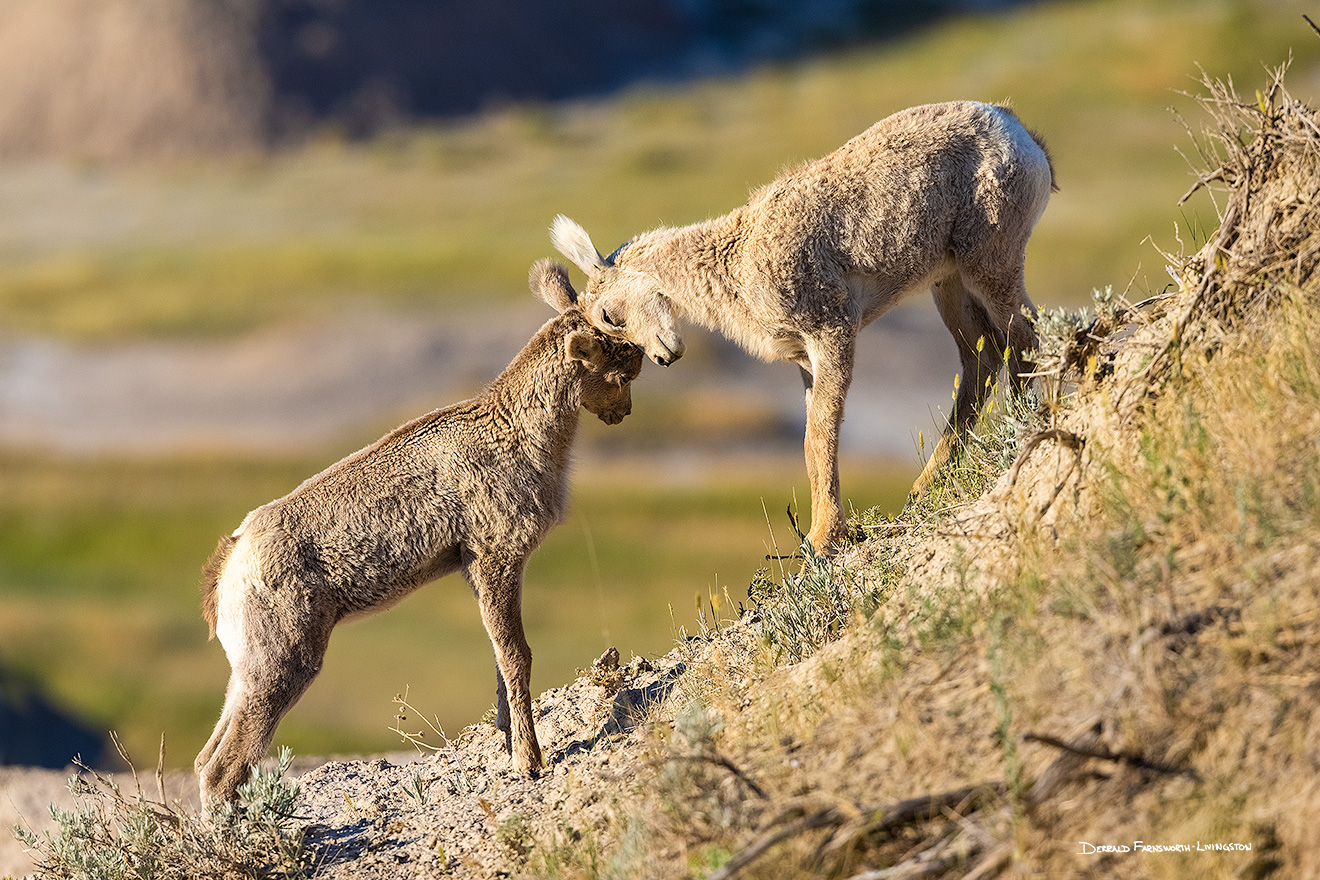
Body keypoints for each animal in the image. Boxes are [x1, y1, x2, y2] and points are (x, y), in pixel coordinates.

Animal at [194, 263, 644, 807]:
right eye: (624, 372)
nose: (623, 413)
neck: (521, 435)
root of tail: (229, 568)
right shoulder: (495, 559)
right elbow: (517, 657)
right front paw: (530, 762)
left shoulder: (476, 571)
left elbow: (500, 660)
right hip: (282, 667)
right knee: (221, 771)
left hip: (247, 671)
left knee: (203, 758)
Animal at [551, 101, 1056, 551]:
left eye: (608, 317)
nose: (664, 356)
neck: (737, 260)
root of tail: (1021, 134)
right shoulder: (804, 360)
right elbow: (812, 447)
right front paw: (821, 535)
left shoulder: (832, 331)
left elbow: (821, 435)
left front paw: (824, 538)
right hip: (950, 283)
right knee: (984, 358)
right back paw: (925, 487)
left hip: (989, 263)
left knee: (1027, 337)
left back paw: (1032, 426)